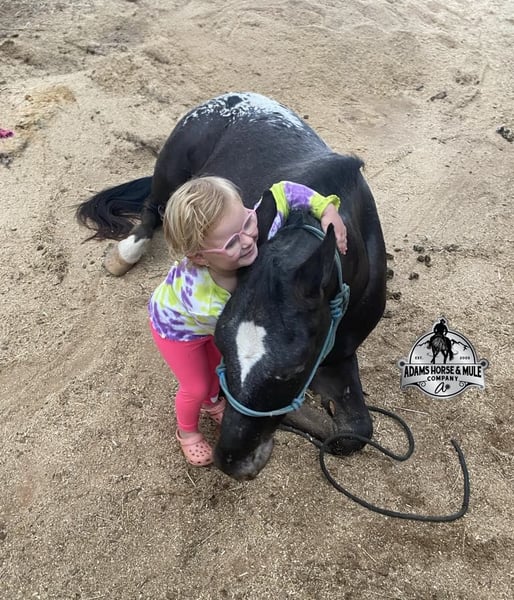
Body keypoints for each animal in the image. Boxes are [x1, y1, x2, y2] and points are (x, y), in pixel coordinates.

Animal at [76, 92, 387, 480]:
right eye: (222, 344)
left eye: (294, 369)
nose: (231, 461)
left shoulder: (340, 354)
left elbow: (354, 433)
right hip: (171, 167)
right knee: (154, 208)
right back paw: (124, 254)